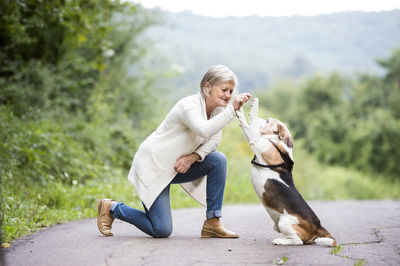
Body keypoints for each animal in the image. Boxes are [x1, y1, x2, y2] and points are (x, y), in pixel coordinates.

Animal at [236, 98, 336, 246]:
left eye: (267, 121)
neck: (277, 144)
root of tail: (318, 226)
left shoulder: (258, 142)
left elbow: (250, 126)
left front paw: (249, 108)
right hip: (278, 224)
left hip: (284, 222)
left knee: (298, 241)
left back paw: (279, 241)